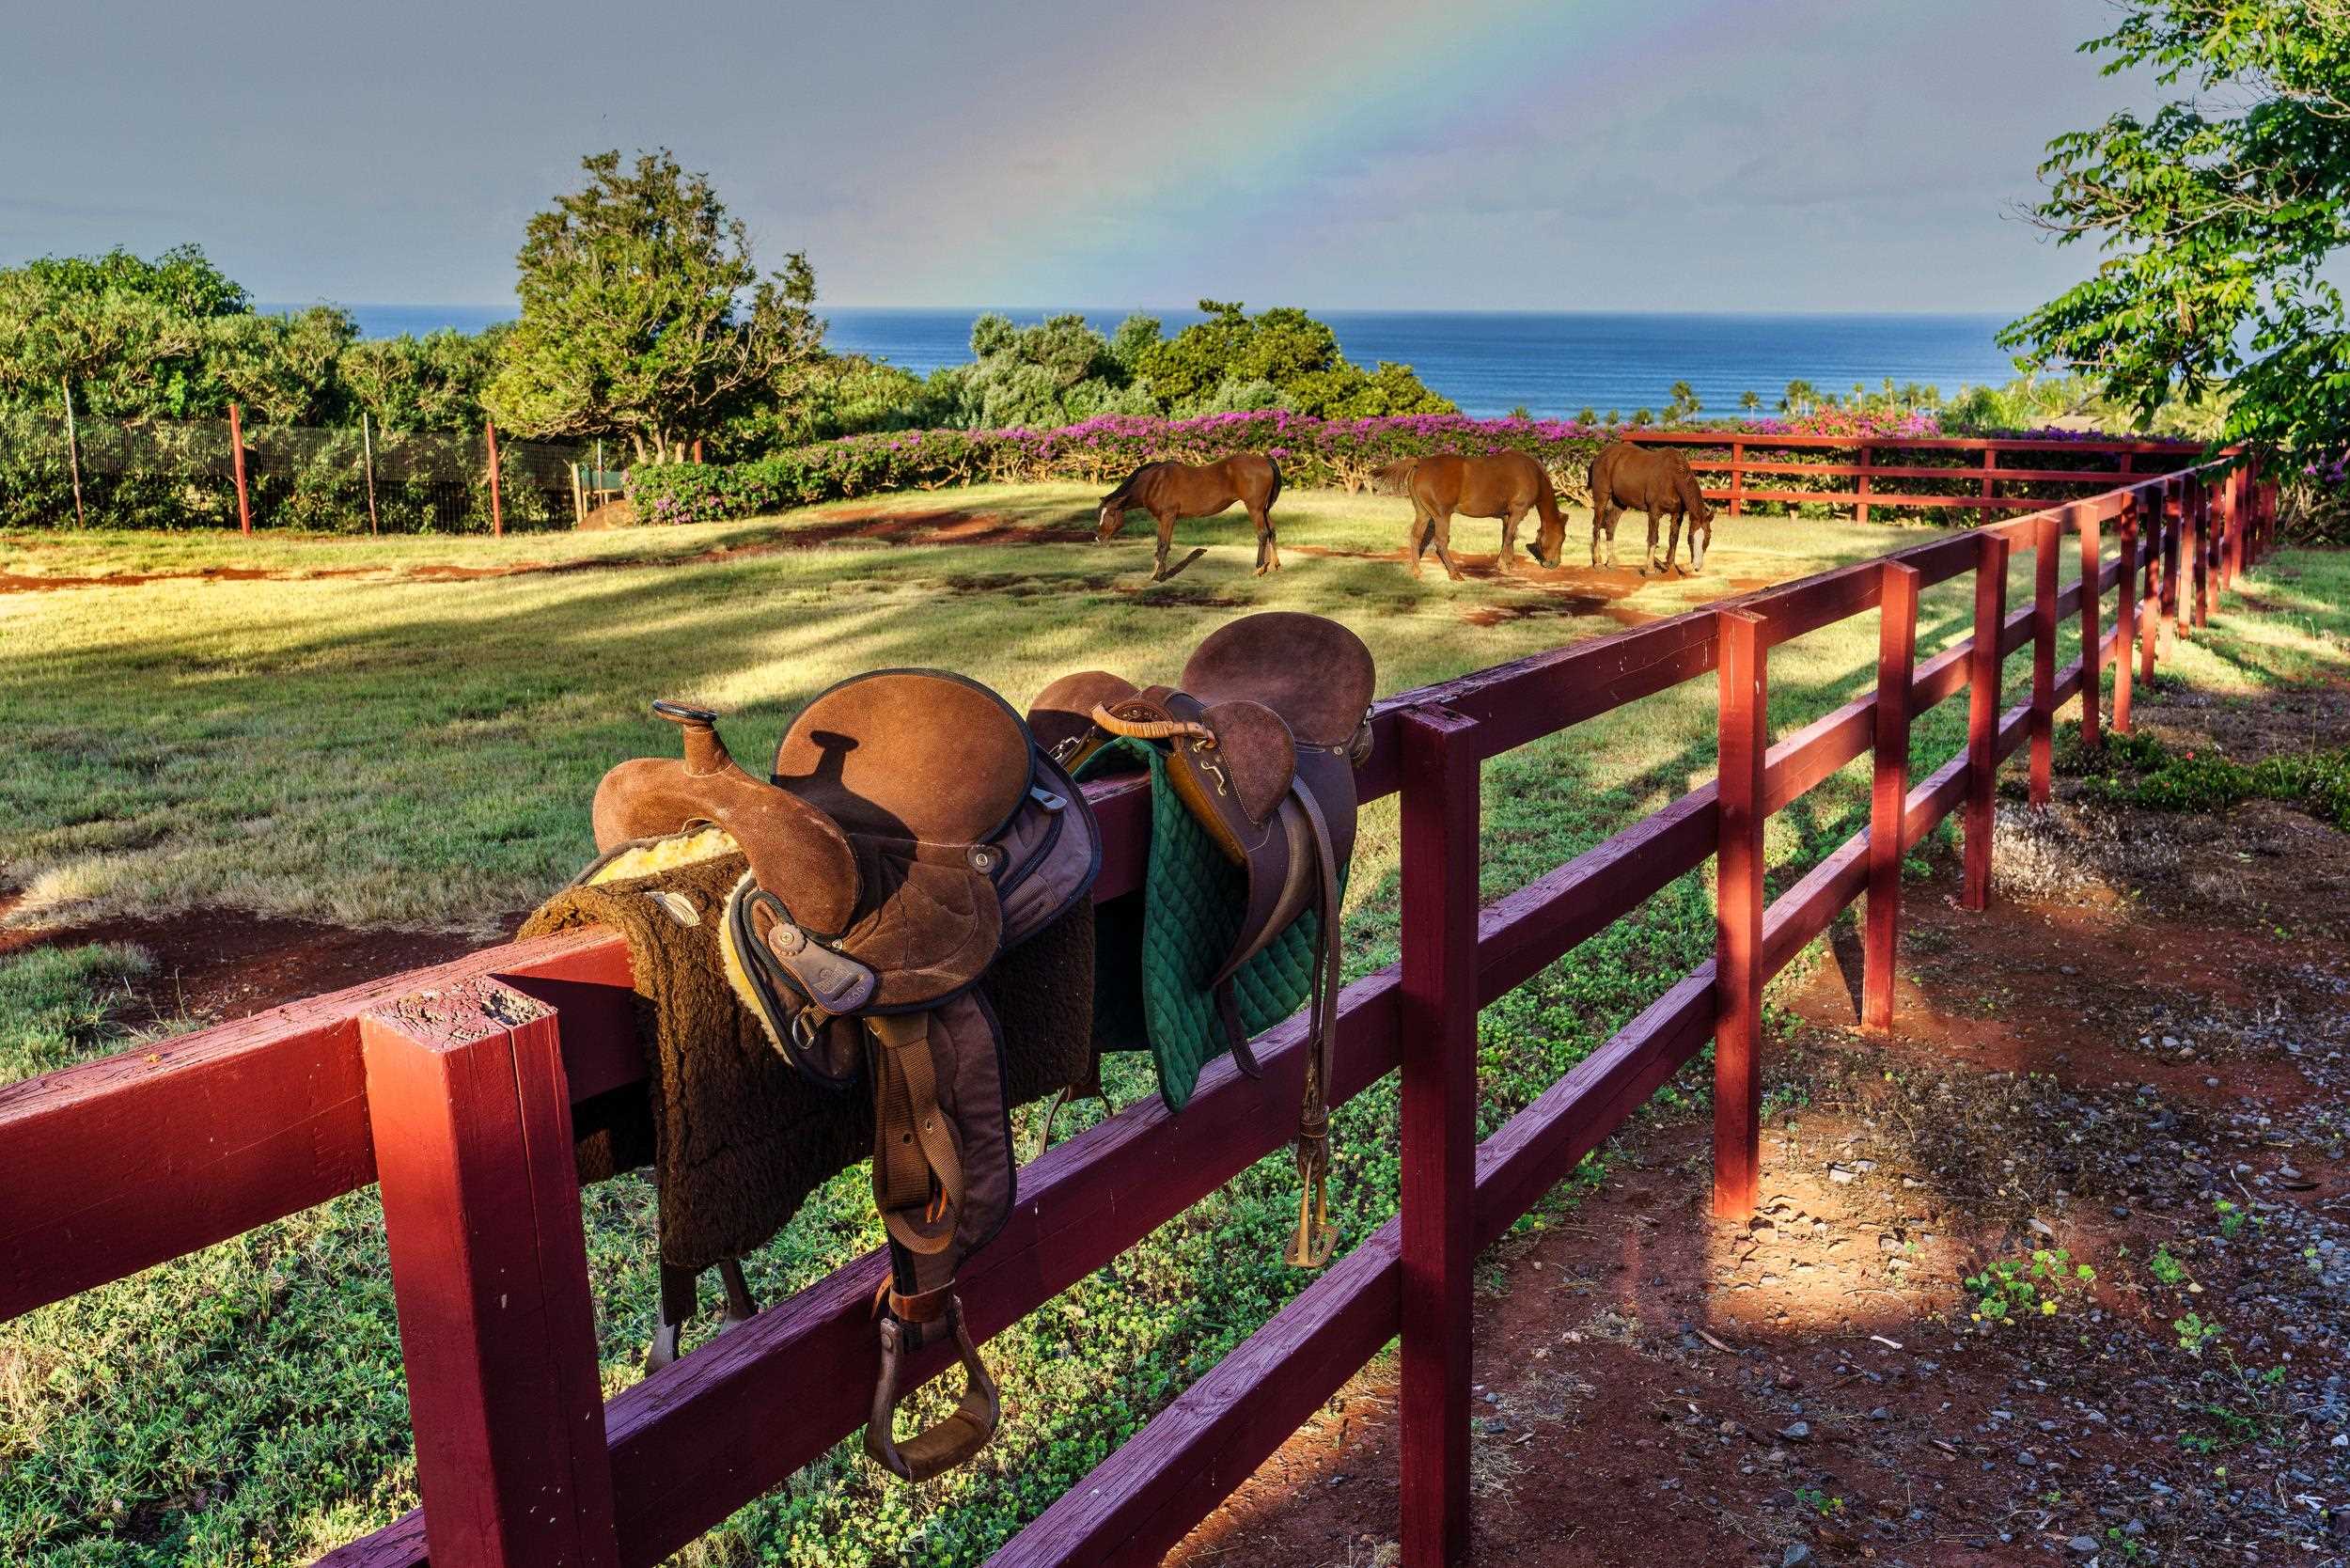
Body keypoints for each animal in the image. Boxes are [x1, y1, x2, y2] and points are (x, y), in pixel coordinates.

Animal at [1095, 453, 1288, 583]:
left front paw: (1159, 576)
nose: (1099, 538)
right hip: (1264, 509)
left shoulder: (1169, 517)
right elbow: (1159, 544)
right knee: (1272, 531)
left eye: (1111, 513)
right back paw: (1275, 565)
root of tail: (1266, 461)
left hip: (1254, 508)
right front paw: (1155, 572)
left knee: (1263, 534)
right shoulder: (1162, 519)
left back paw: (1259, 569)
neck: (1154, 483)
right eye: (1100, 514)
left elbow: (1164, 545)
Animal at [1372, 447, 1570, 583]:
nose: (1554, 563)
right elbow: (1509, 536)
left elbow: (1507, 536)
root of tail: (1420, 463)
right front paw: (1503, 565)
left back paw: (1416, 571)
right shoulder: (1518, 511)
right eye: (1561, 538)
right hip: (1442, 515)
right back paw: (1455, 573)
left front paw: (1508, 562)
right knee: (1441, 542)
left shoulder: (1507, 515)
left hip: (1423, 513)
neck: (1532, 473)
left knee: (1415, 537)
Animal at [1589, 442, 1720, 575]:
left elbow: (1673, 538)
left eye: (1708, 536)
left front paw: (1670, 567)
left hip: (1619, 503)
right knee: (1597, 526)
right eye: (1691, 537)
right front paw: (1650, 569)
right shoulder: (1654, 512)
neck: (1672, 477)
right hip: (1602, 498)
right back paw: (1598, 563)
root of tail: (1600, 456)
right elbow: (1653, 538)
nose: (1697, 566)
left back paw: (1611, 563)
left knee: (1610, 526)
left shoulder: (1677, 514)